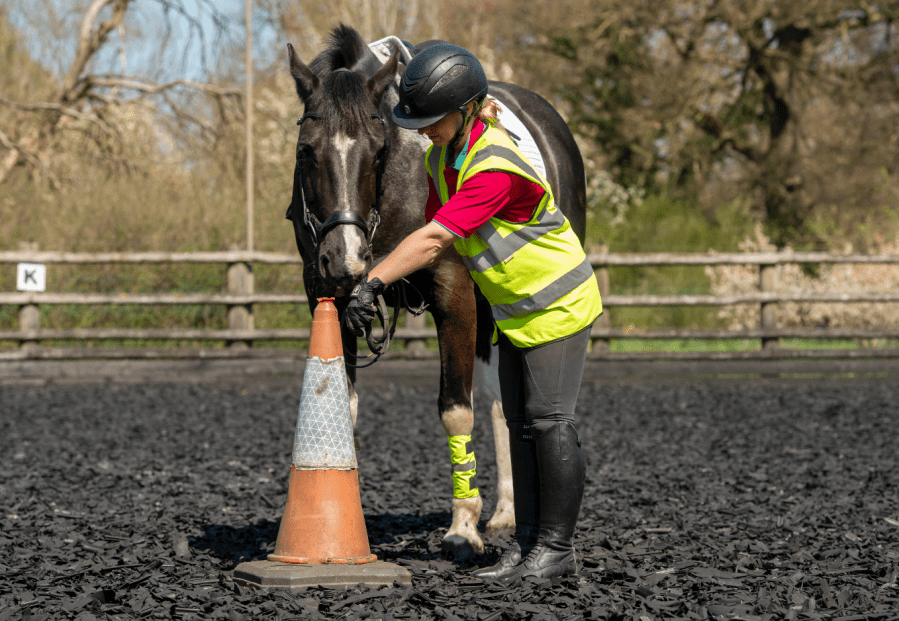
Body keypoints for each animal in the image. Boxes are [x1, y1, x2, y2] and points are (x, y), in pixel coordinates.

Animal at [284, 25, 588, 556]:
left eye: (378, 151)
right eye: (306, 150)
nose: (345, 260)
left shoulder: (454, 295)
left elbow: (455, 410)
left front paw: (462, 527)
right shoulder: (328, 299)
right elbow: (344, 403)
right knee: (500, 401)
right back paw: (507, 511)